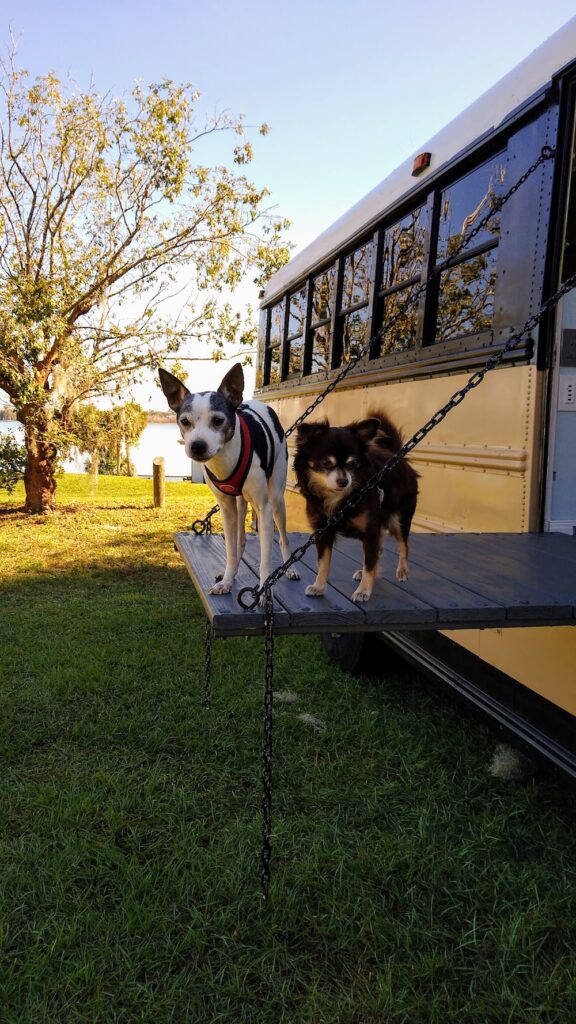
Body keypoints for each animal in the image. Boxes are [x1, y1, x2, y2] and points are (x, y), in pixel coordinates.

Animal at [293, 409, 414, 598]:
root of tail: (396, 456)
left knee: (403, 545)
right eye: (326, 463)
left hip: (397, 520)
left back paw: (402, 571)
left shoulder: (370, 531)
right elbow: (324, 562)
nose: (344, 481)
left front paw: (364, 591)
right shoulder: (323, 532)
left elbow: (369, 562)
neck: (338, 499)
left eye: (353, 464)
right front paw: (319, 586)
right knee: (379, 550)